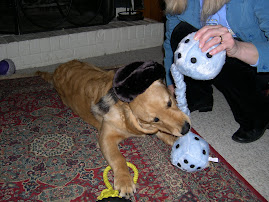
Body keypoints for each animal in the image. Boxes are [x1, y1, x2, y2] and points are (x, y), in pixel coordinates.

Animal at [36, 59, 191, 197]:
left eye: (170, 102)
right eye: (155, 119)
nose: (186, 128)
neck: (122, 107)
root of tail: (57, 70)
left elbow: (165, 134)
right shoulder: (106, 136)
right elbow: (118, 158)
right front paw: (125, 182)